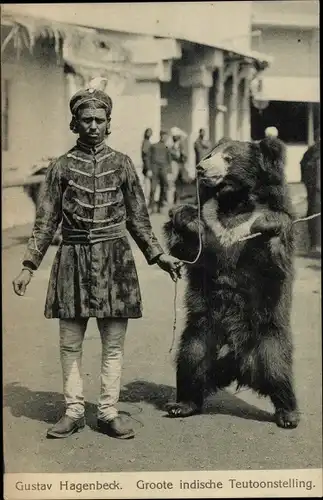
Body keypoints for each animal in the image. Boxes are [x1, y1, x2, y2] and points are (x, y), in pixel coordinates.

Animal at [165, 138, 302, 430]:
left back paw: (288, 415)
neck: (234, 201)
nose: (200, 168)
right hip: (202, 331)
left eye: (227, 159)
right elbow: (190, 248)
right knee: (190, 361)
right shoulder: (210, 217)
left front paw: (268, 226)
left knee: (278, 369)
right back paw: (182, 404)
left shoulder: (272, 211)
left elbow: (276, 255)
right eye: (209, 155)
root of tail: (237, 363)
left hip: (269, 335)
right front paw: (184, 217)